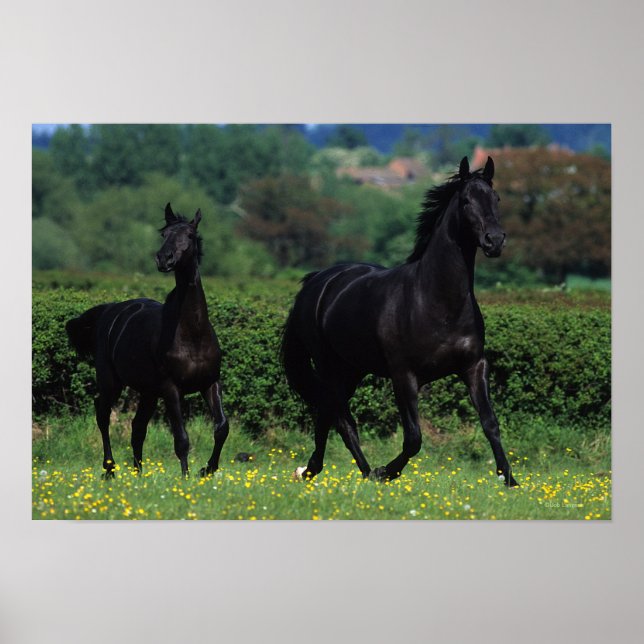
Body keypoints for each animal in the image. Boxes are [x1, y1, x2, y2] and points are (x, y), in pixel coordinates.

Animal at [65, 203, 229, 478]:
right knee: (102, 413)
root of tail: (110, 311)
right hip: (111, 382)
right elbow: (181, 439)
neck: (192, 334)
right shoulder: (171, 389)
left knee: (137, 427)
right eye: (164, 235)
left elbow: (221, 428)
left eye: (190, 235)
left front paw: (206, 470)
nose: (164, 259)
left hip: (148, 392)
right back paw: (110, 469)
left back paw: (138, 474)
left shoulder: (210, 383)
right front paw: (186, 478)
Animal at [281, 156, 517, 486]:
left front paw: (510, 480)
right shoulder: (404, 375)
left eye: (496, 199)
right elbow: (413, 438)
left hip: (351, 369)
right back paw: (345, 471)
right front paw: (387, 471)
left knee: (332, 416)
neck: (436, 301)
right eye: (466, 201)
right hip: (329, 367)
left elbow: (490, 423)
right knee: (338, 417)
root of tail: (317, 281)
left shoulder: (474, 367)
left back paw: (341, 471)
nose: (494, 241)